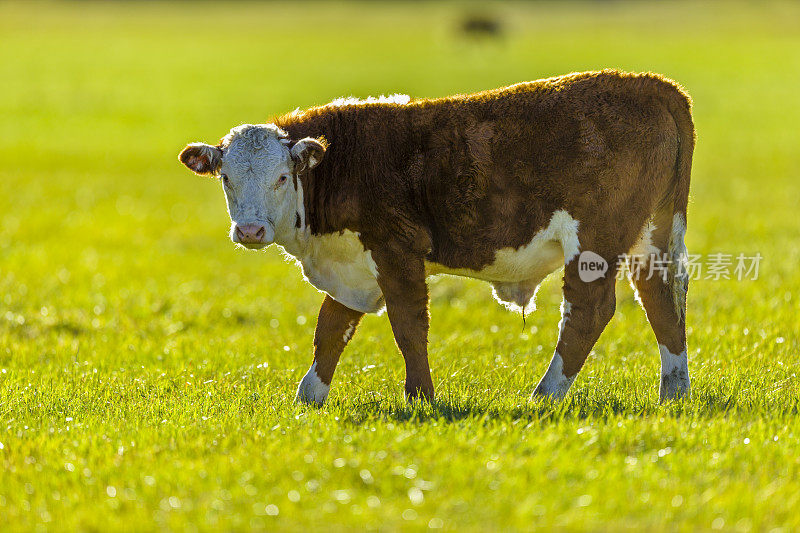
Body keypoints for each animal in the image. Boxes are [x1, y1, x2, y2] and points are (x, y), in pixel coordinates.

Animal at [178, 69, 692, 404]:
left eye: (282, 178)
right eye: (226, 178)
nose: (250, 230)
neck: (341, 163)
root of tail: (654, 85)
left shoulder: (396, 251)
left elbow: (408, 327)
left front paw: (420, 397)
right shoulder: (352, 265)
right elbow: (331, 330)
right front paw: (309, 397)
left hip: (596, 241)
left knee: (589, 310)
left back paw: (544, 395)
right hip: (651, 235)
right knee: (662, 299)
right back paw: (674, 393)